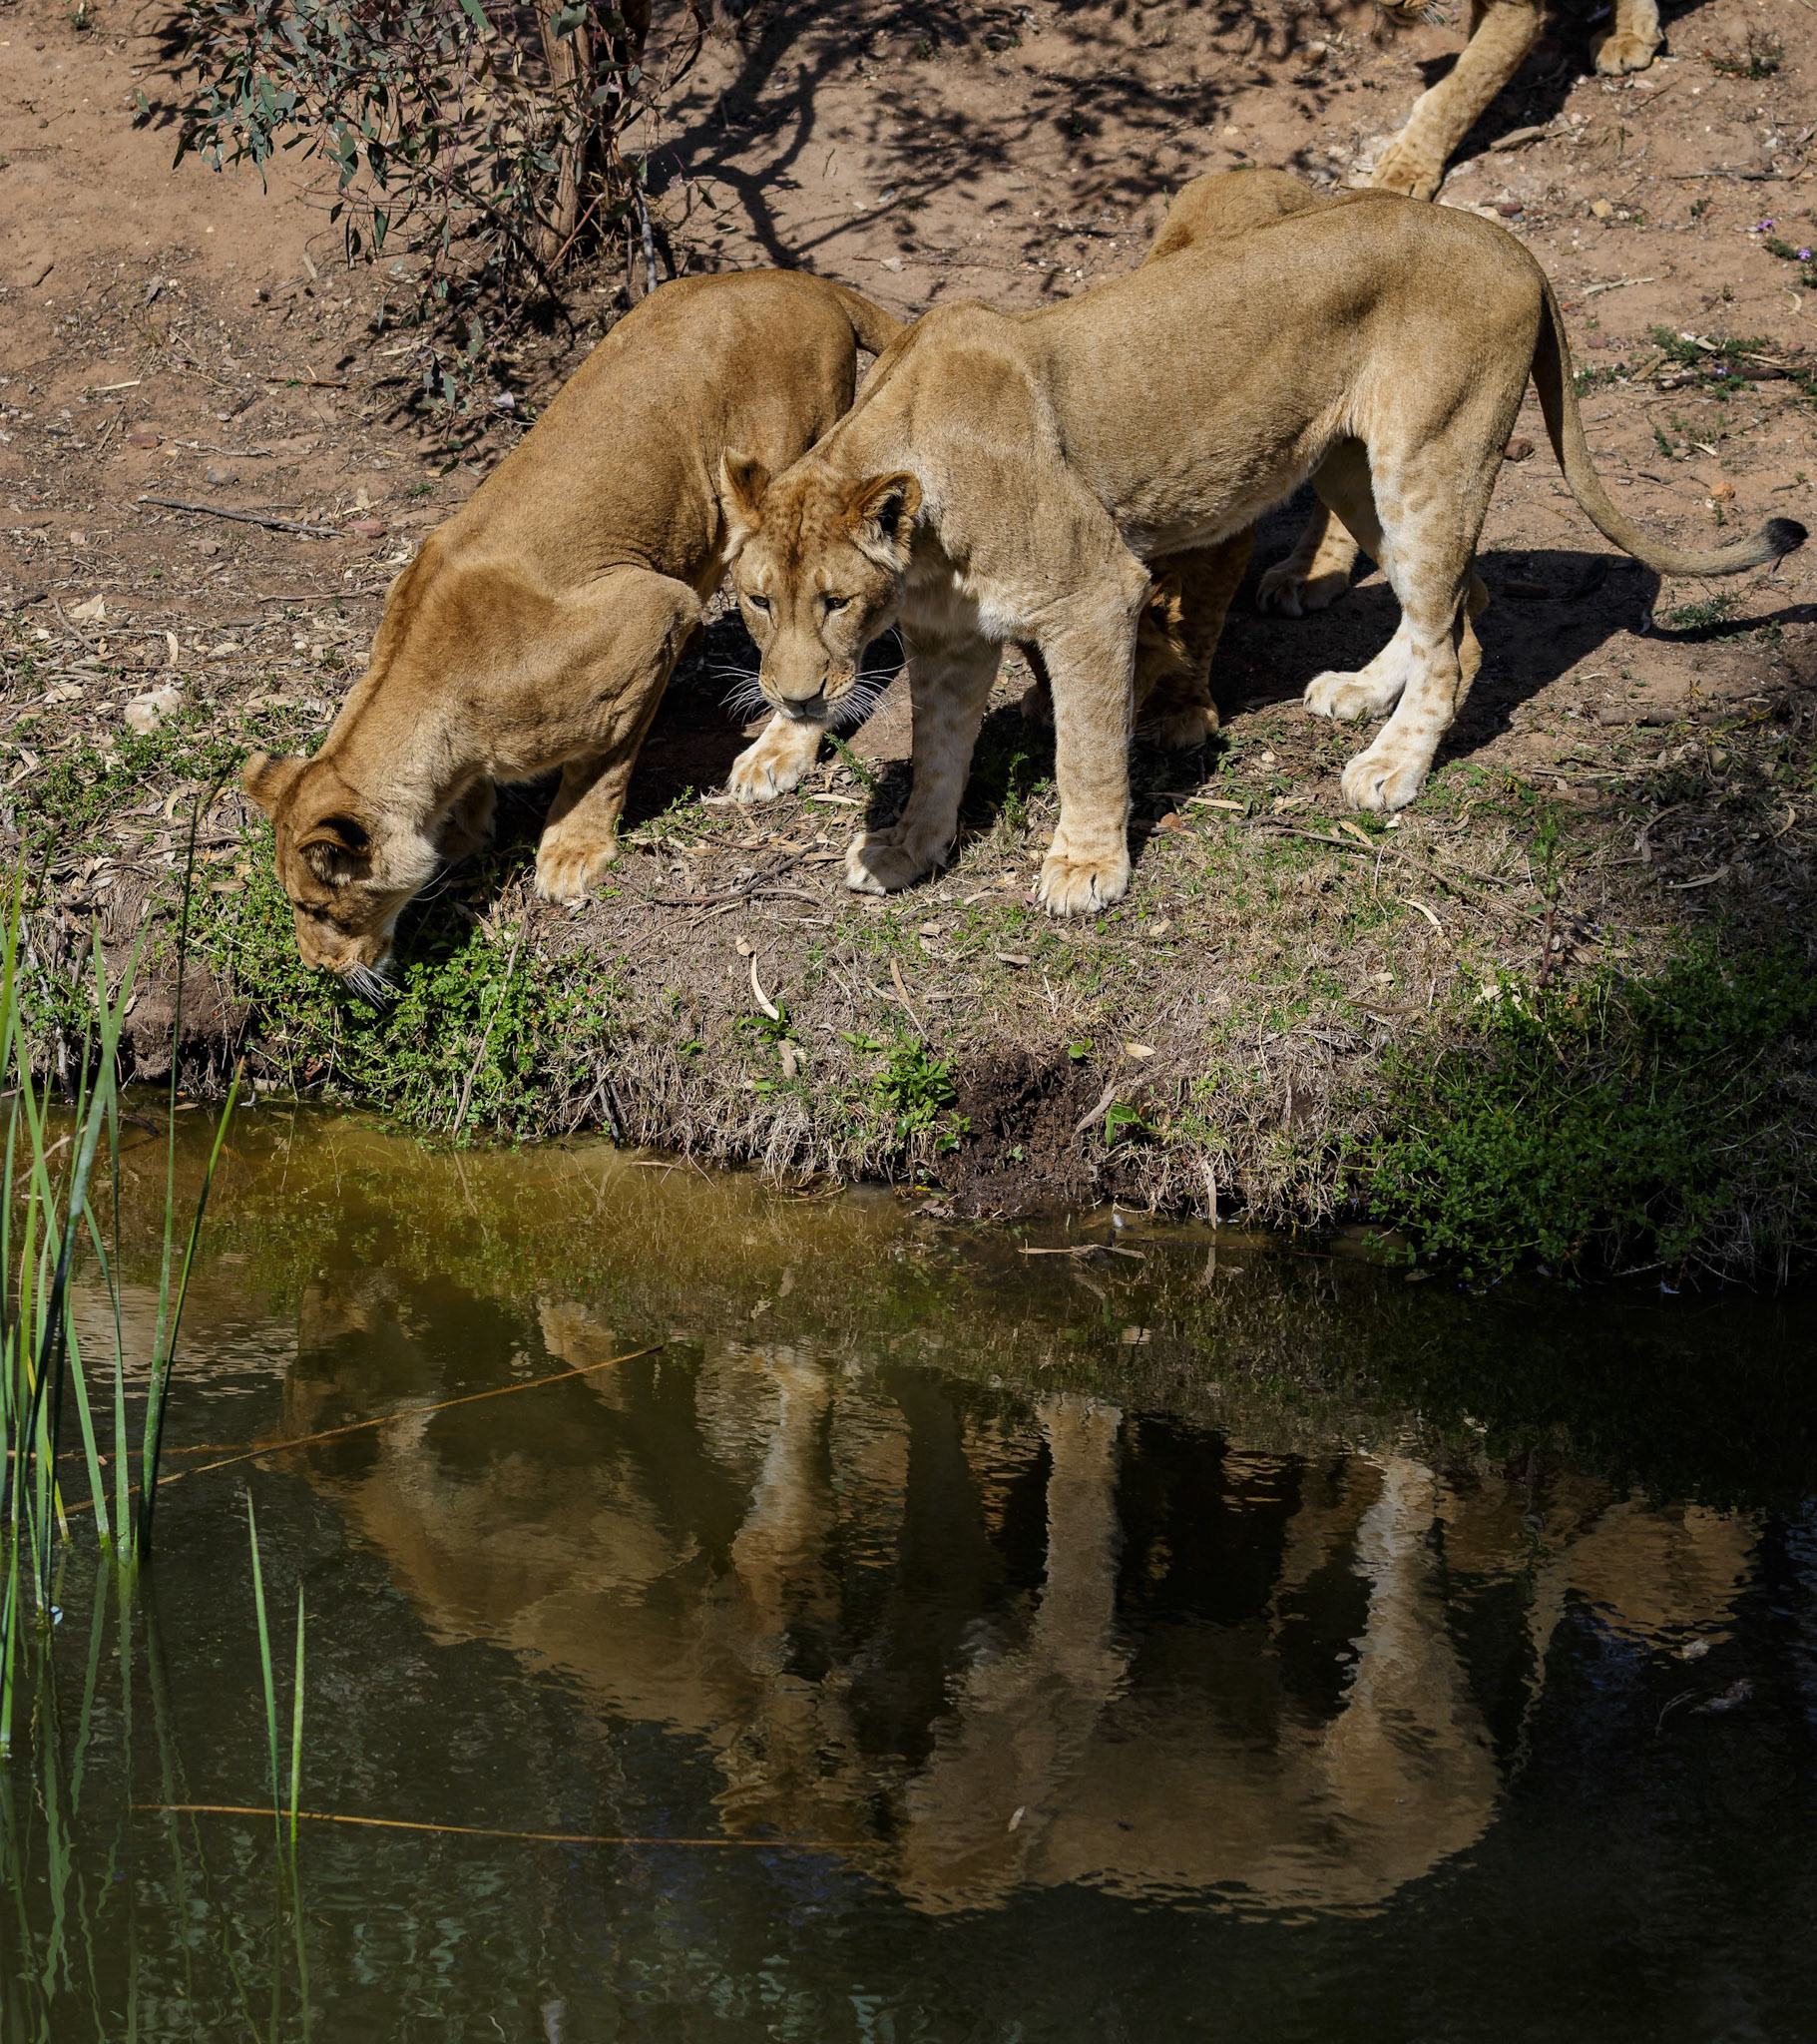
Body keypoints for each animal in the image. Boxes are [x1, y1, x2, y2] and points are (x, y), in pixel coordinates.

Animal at [242, 269, 901, 986]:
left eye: (320, 909)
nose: (317, 969)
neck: (429, 697)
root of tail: (801, 280)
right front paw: (466, 833)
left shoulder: (649, 614)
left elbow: (600, 764)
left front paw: (570, 852)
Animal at [718, 190, 1802, 916]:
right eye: (759, 601)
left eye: (835, 601)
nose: (795, 698)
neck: (926, 537)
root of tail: (1510, 242)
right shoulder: (949, 638)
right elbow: (942, 748)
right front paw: (908, 848)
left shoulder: (1094, 593)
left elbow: (1086, 747)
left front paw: (1086, 866)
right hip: (1356, 470)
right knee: (1463, 601)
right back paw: (1361, 694)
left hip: (1430, 456)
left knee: (1457, 635)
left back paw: (1389, 768)